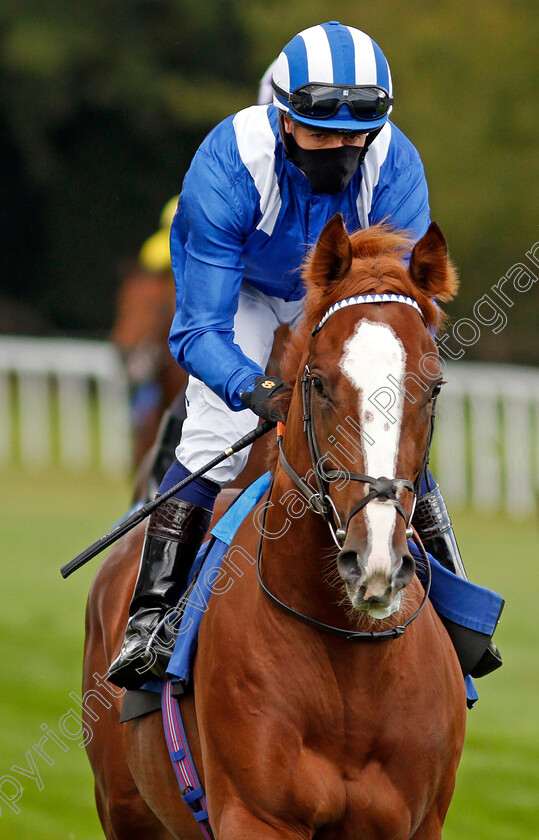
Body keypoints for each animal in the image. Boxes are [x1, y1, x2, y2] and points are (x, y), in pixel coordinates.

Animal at [86, 218, 466, 840]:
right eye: (319, 382)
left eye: (432, 387)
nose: (374, 562)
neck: (351, 659)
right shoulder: (257, 815)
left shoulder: (415, 822)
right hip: (126, 812)